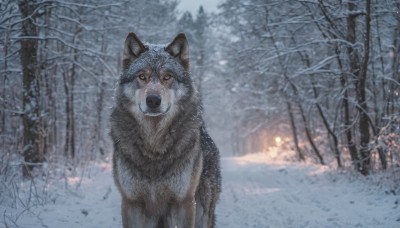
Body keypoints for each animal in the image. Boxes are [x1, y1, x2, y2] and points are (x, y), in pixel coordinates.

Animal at [110, 32, 222, 228]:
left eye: (167, 77)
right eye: (142, 76)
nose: (153, 100)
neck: (154, 144)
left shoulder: (184, 202)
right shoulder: (131, 202)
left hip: (202, 212)